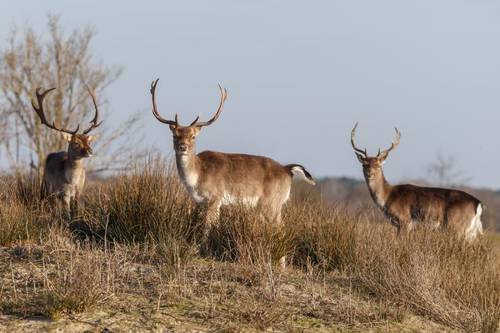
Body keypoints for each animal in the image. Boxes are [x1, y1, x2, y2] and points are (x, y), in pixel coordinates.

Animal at [31, 85, 101, 217]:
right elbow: (67, 213)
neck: (72, 181)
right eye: (76, 143)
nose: (90, 151)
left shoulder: (79, 191)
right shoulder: (64, 193)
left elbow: (76, 210)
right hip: (48, 187)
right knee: (50, 204)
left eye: (88, 142)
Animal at [148, 78, 314, 254]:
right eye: (175, 135)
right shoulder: (201, 202)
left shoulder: (215, 197)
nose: (183, 147)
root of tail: (287, 169)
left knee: (281, 228)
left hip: (271, 202)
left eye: (193, 136)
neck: (197, 177)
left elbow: (207, 227)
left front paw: (204, 250)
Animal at [350, 123, 482, 240]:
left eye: (378, 165)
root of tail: (478, 203)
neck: (387, 198)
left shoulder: (404, 220)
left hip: (456, 226)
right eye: (364, 164)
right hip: (470, 231)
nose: (370, 174)